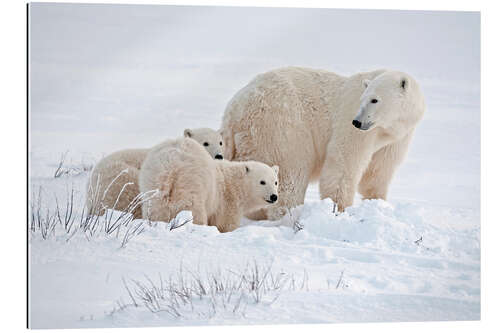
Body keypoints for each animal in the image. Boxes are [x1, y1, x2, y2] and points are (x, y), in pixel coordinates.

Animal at [139, 136, 280, 232]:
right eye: (262, 182)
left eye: (275, 182)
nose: (274, 196)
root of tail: (171, 165)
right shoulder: (226, 202)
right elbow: (225, 224)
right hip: (191, 183)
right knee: (194, 211)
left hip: (152, 183)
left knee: (156, 210)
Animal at [221, 66, 424, 219]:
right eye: (363, 99)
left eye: (375, 99)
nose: (357, 122)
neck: (388, 127)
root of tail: (234, 109)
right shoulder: (352, 125)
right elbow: (343, 162)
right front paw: (338, 209)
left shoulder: (397, 137)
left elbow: (378, 171)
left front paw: (377, 202)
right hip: (282, 127)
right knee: (290, 173)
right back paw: (287, 214)